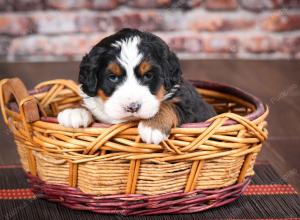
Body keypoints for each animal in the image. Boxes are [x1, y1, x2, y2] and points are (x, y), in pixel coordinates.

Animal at [57, 27, 216, 144]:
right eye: (112, 77)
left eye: (148, 75)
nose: (132, 107)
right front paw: (74, 111)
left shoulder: (194, 109)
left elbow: (170, 105)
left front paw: (153, 126)